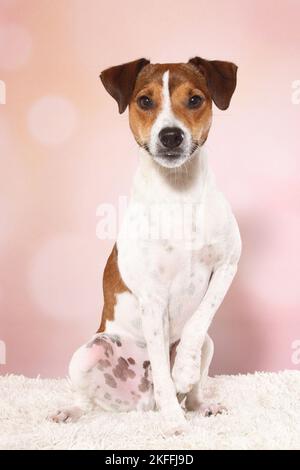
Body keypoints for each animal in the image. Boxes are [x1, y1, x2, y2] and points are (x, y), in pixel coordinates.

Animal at [51, 57, 241, 436]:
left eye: (195, 100)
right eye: (145, 101)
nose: (171, 136)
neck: (178, 192)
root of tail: (143, 401)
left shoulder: (228, 263)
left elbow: (199, 320)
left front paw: (183, 369)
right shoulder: (152, 296)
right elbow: (165, 375)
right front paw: (173, 424)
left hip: (210, 345)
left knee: (193, 387)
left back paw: (201, 404)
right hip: (88, 352)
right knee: (87, 399)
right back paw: (74, 412)